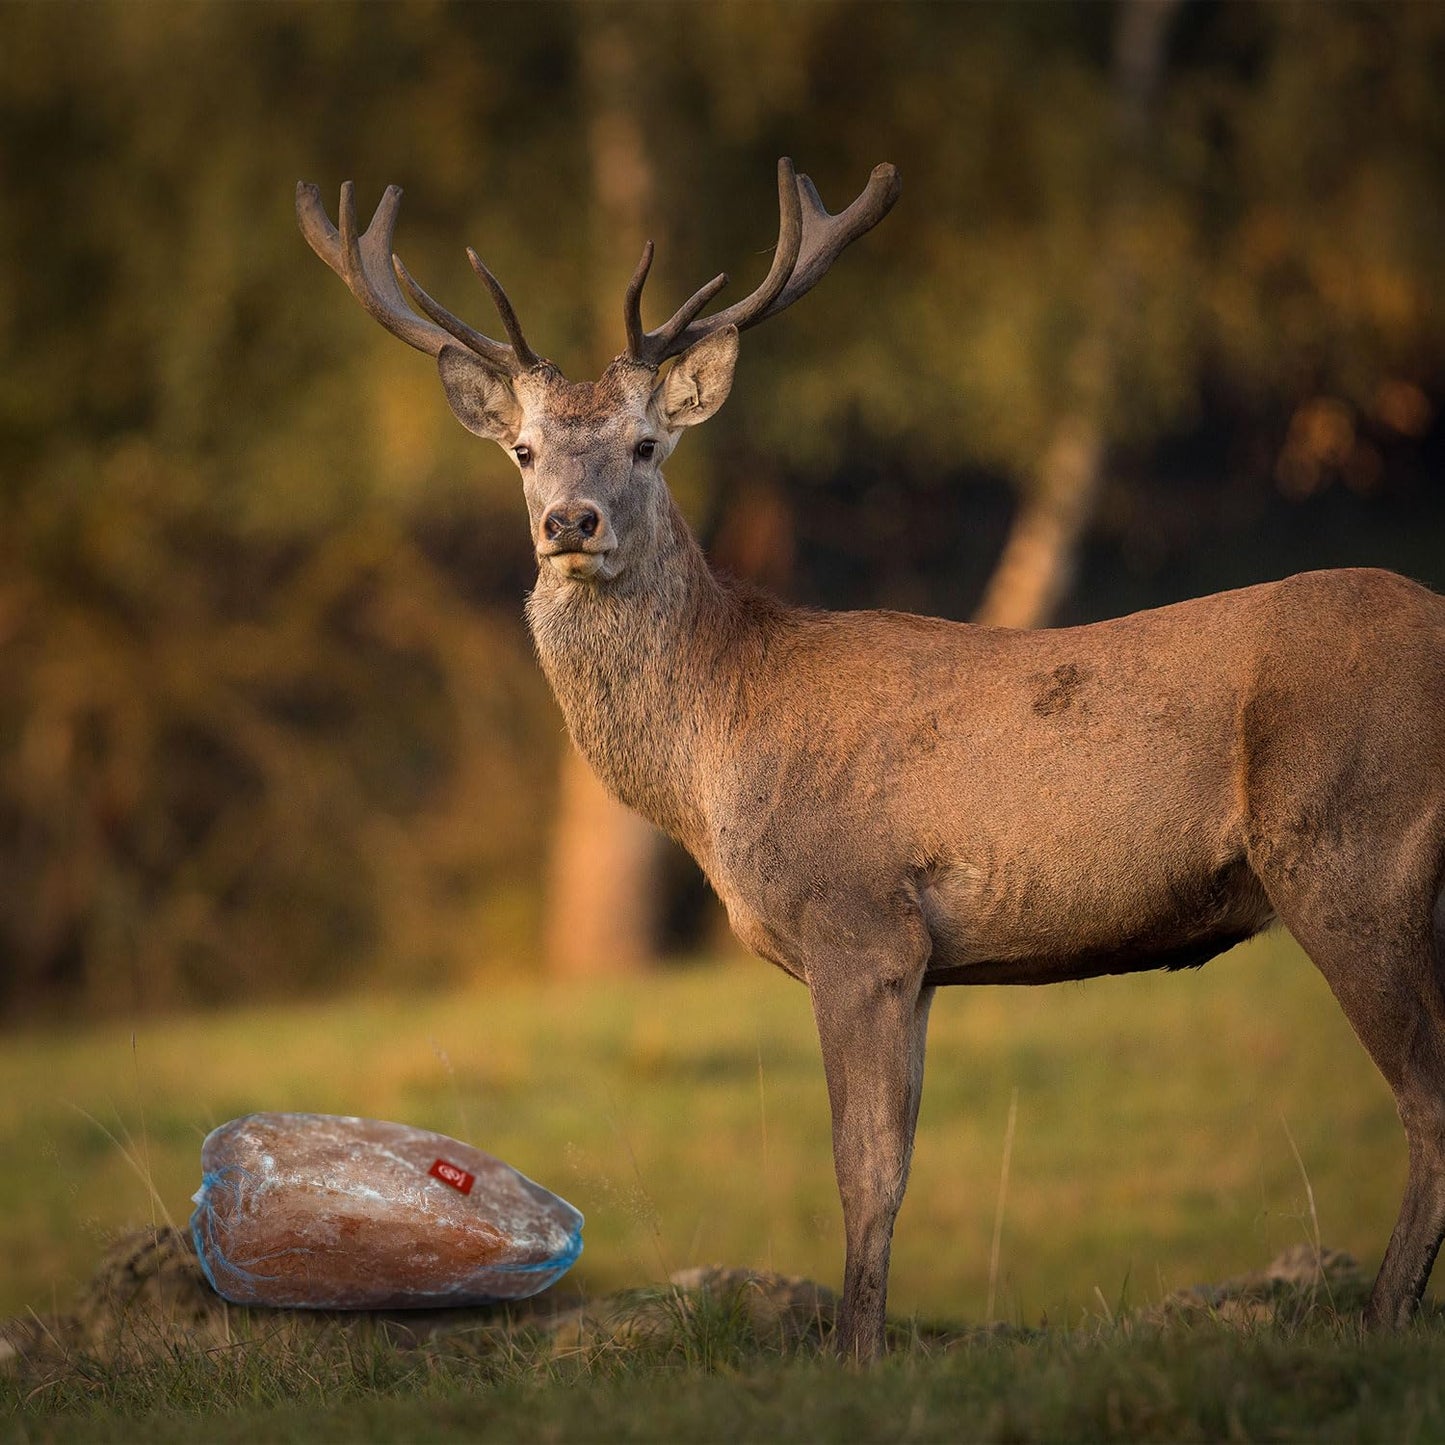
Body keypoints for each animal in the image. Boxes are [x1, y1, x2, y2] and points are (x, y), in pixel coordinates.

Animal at [297, 159, 1445, 1362]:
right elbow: (890, 1156)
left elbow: (866, 1168)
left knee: (1428, 1098)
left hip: (1349, 847)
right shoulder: (921, 958)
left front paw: (855, 1352)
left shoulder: (856, 915)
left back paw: (1379, 1317)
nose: (572, 520)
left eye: (645, 445)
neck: (716, 750)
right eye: (524, 451)